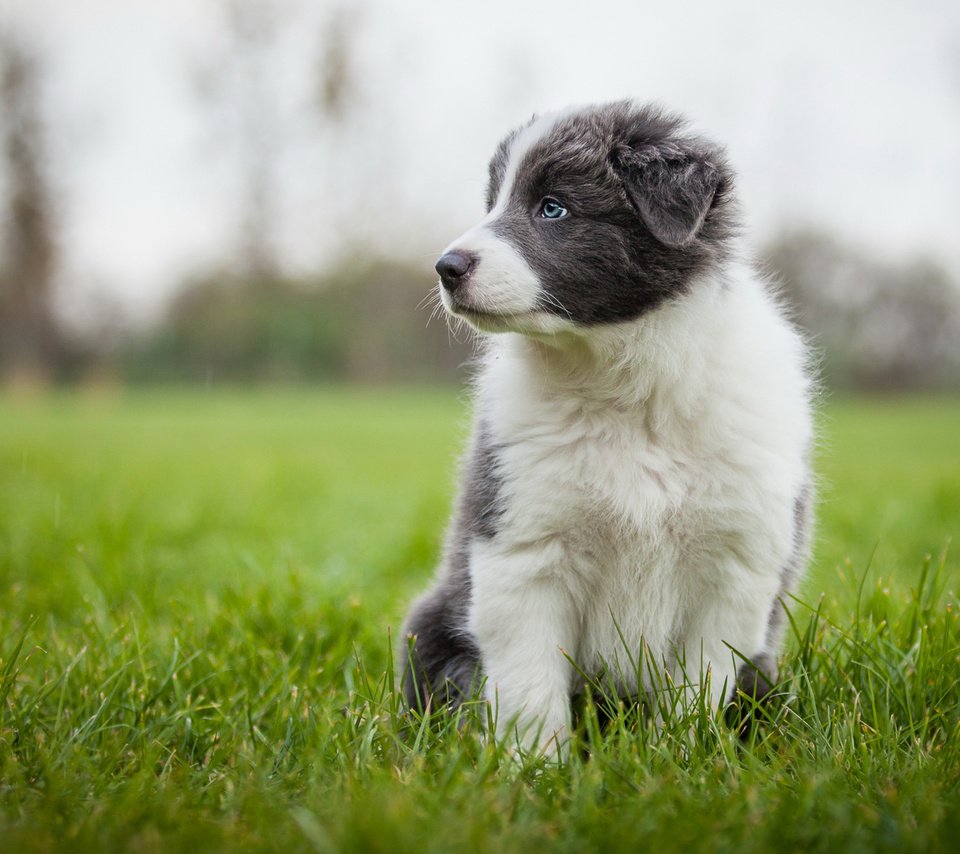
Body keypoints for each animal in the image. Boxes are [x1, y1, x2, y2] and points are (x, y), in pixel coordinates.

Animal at [398, 98, 808, 756]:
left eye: (553, 207)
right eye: (492, 201)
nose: (446, 267)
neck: (623, 384)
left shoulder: (733, 570)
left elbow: (696, 689)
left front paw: (679, 759)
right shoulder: (523, 550)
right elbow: (531, 688)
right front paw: (535, 767)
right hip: (432, 628)